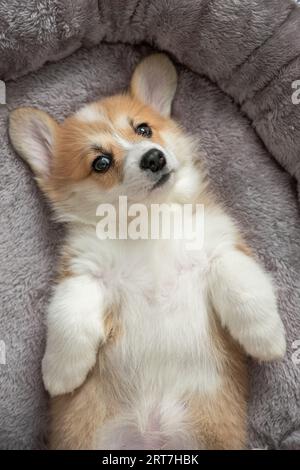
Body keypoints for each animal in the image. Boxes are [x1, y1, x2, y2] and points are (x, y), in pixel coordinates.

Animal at [8, 53, 286, 450]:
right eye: (101, 162)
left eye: (143, 130)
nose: (154, 158)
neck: (148, 222)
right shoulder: (85, 272)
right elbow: (69, 315)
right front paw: (60, 373)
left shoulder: (221, 245)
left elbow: (244, 287)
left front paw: (268, 340)